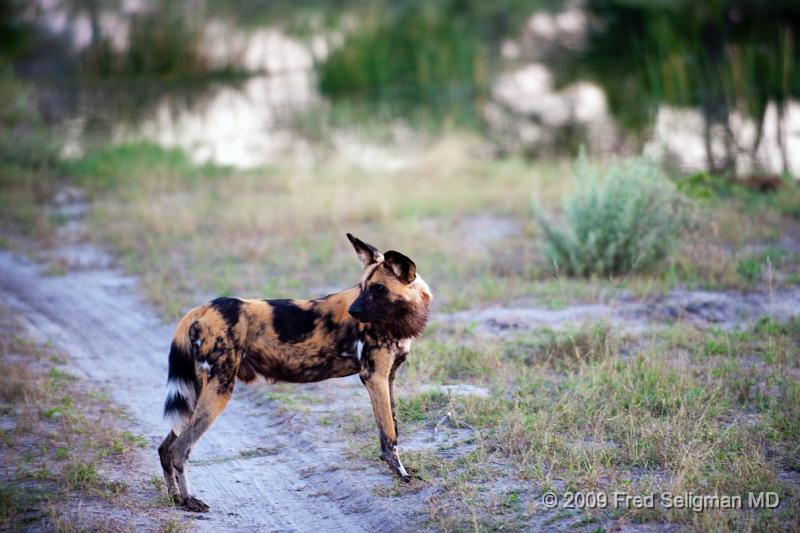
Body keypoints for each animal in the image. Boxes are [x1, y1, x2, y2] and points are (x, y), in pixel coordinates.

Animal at [157, 233, 432, 512]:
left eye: (378, 289)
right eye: (362, 286)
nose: (353, 312)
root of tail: (202, 308)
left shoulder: (388, 378)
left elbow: (392, 428)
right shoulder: (374, 377)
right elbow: (389, 436)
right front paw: (402, 476)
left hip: (198, 393)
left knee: (165, 448)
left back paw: (175, 497)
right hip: (219, 390)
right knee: (180, 448)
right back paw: (190, 501)